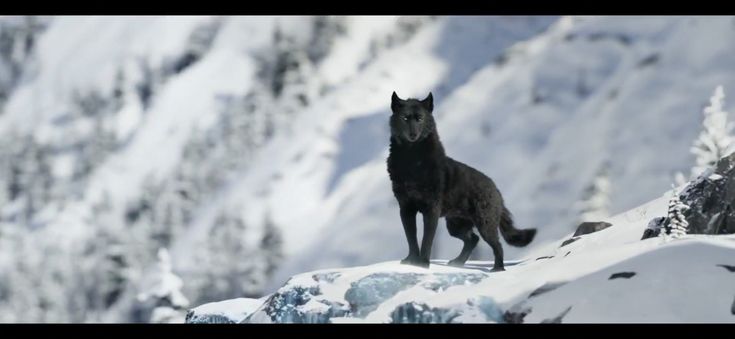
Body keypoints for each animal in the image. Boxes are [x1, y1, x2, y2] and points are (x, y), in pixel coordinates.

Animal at [388, 91, 536, 272]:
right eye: (405, 118)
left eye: (420, 118)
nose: (413, 135)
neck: (412, 161)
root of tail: (497, 191)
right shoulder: (406, 208)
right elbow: (411, 237)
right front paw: (411, 261)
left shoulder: (431, 209)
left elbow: (426, 239)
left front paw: (422, 264)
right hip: (455, 225)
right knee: (473, 239)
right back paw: (457, 262)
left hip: (484, 224)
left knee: (497, 245)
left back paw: (497, 269)